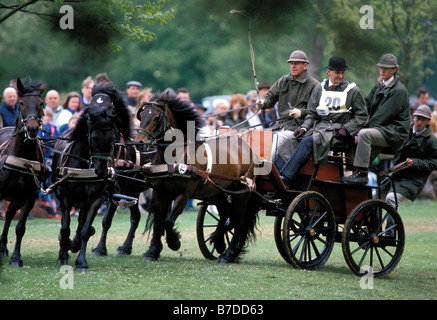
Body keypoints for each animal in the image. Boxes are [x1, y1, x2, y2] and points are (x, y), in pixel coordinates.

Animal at [51, 84, 131, 272]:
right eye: (93, 138)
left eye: (112, 139)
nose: (101, 171)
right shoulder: (66, 197)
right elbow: (64, 228)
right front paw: (63, 253)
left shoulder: (95, 198)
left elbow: (85, 230)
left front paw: (81, 261)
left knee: (82, 222)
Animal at [135, 91, 260, 264]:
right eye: (141, 115)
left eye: (156, 117)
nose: (139, 143)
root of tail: (246, 145)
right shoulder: (160, 193)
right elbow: (158, 222)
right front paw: (152, 251)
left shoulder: (183, 195)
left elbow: (168, 222)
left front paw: (174, 242)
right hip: (216, 192)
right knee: (226, 214)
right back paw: (219, 243)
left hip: (241, 192)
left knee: (239, 221)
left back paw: (228, 254)